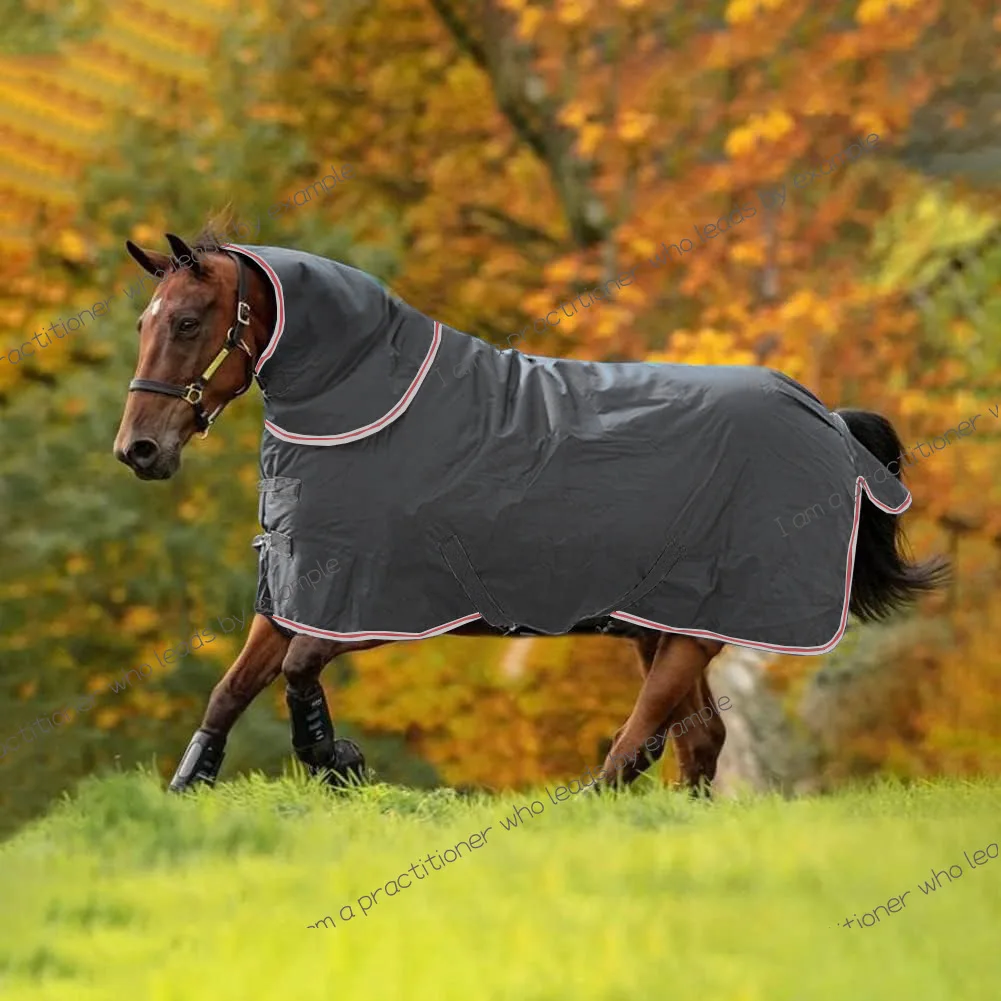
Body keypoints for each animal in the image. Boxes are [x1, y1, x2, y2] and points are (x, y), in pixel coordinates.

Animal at [113, 231, 946, 797]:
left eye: (188, 321)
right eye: (143, 323)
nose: (139, 449)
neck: (373, 413)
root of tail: (826, 418)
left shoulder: (385, 601)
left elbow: (294, 670)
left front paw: (338, 759)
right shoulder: (297, 589)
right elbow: (231, 688)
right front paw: (192, 781)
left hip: (702, 620)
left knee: (645, 734)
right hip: (662, 623)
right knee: (696, 738)